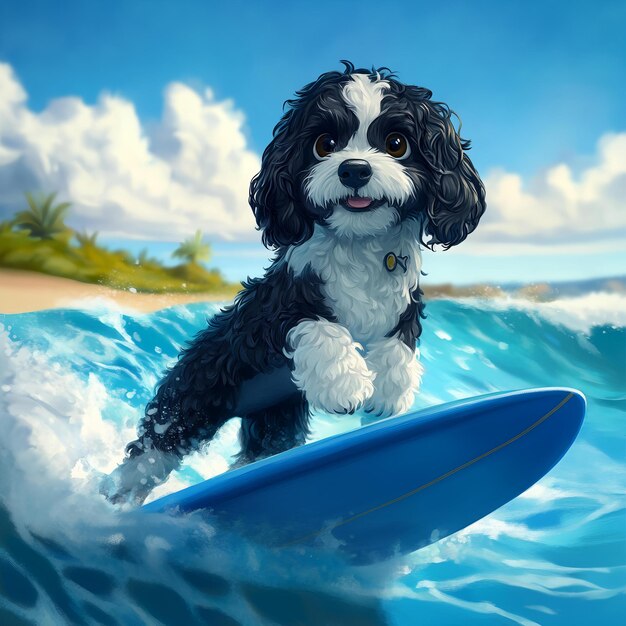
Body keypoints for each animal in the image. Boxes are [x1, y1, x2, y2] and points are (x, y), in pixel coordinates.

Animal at [105, 62, 486, 502]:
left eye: (396, 144)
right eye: (324, 144)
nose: (354, 169)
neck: (360, 241)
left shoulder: (403, 304)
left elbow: (399, 342)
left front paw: (389, 392)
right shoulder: (272, 313)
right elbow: (317, 325)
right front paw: (346, 384)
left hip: (276, 418)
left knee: (262, 452)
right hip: (194, 398)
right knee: (152, 451)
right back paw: (113, 500)